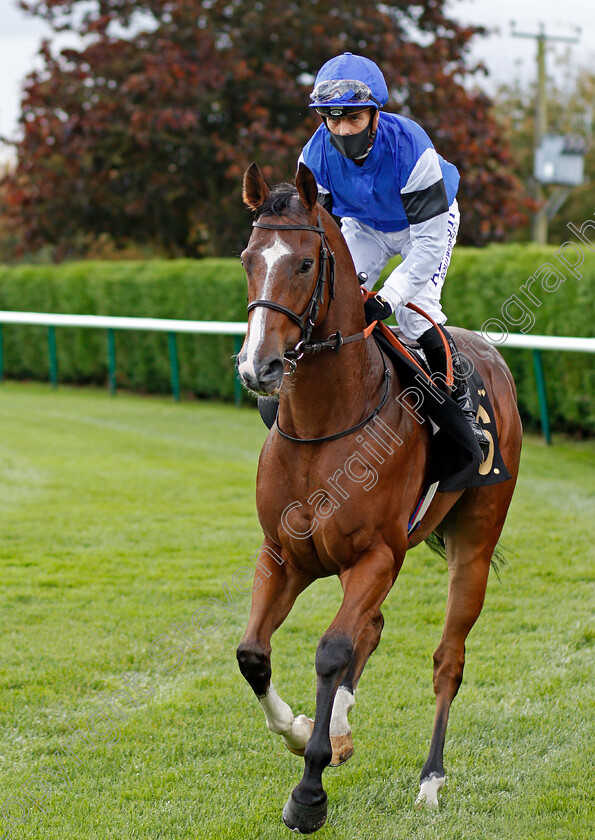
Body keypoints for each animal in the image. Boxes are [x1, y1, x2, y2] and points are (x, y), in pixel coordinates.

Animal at [235, 164, 524, 832]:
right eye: (247, 259)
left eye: (305, 264)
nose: (259, 368)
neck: (324, 426)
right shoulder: (284, 553)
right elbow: (253, 653)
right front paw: (305, 731)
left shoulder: (376, 556)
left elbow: (331, 649)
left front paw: (308, 791)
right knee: (372, 629)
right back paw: (341, 728)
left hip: (474, 544)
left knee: (448, 658)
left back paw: (430, 781)